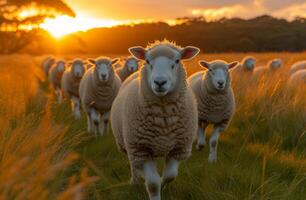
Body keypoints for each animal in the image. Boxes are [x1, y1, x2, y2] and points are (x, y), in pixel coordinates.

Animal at [111, 41, 200, 200]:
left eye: (177, 61)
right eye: (147, 61)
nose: (159, 82)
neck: (164, 121)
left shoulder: (178, 148)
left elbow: (170, 175)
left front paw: (163, 184)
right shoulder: (141, 149)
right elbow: (153, 183)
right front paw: (154, 188)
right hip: (129, 145)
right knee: (133, 164)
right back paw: (135, 180)